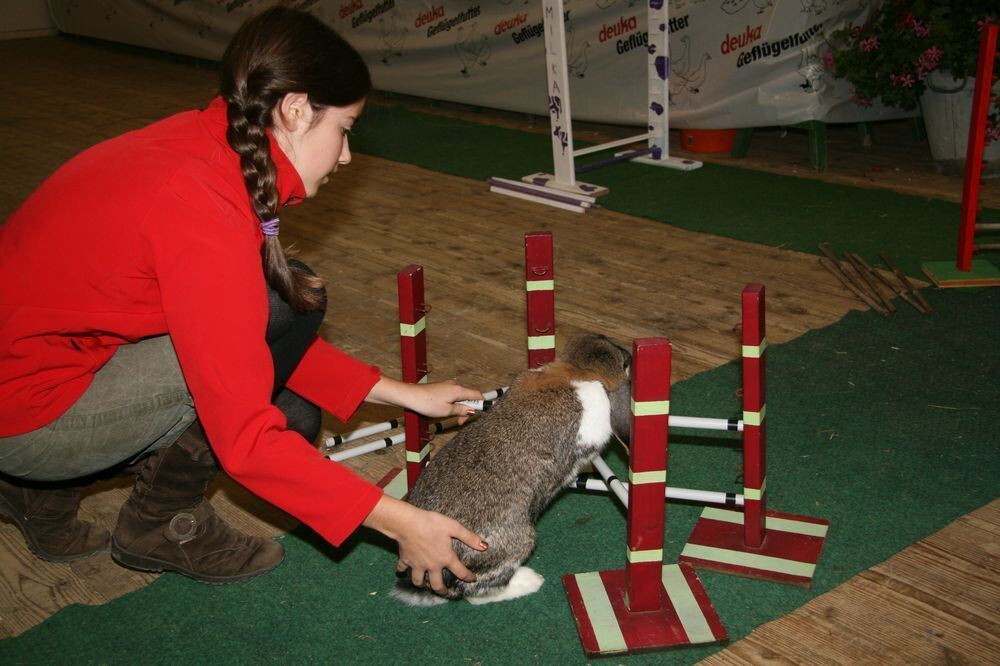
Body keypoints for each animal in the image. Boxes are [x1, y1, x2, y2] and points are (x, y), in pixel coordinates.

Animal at [392, 332, 632, 608]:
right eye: (623, 361)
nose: (630, 356)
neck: (573, 371)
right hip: (519, 542)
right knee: (476, 593)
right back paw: (529, 581)